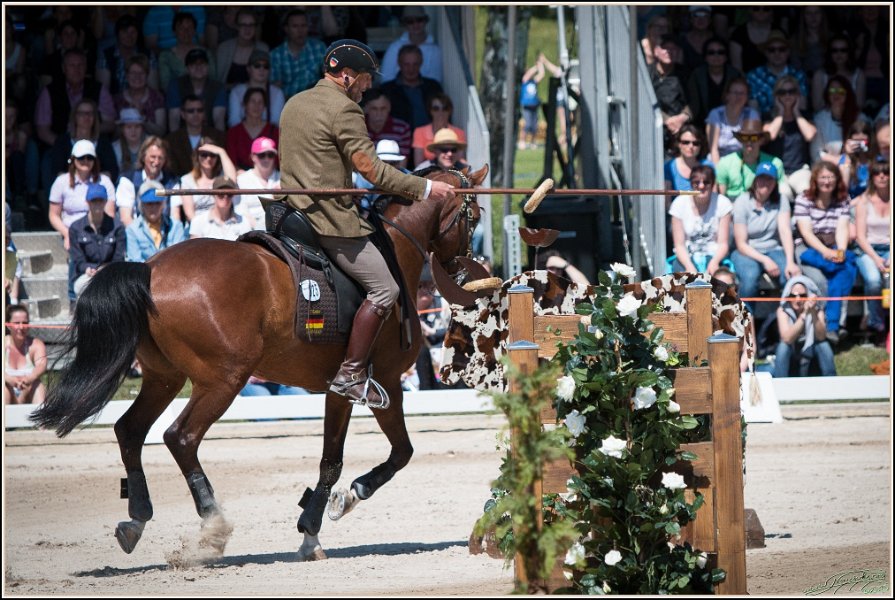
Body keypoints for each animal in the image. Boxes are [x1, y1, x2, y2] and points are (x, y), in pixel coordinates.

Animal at [31, 165, 489, 562]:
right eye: (475, 216)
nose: (465, 270)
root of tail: (149, 268)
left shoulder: (339, 389)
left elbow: (333, 460)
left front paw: (312, 530)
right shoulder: (387, 382)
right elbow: (398, 453)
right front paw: (350, 496)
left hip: (164, 377)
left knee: (130, 430)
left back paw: (137, 520)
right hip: (223, 379)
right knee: (181, 438)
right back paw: (212, 525)